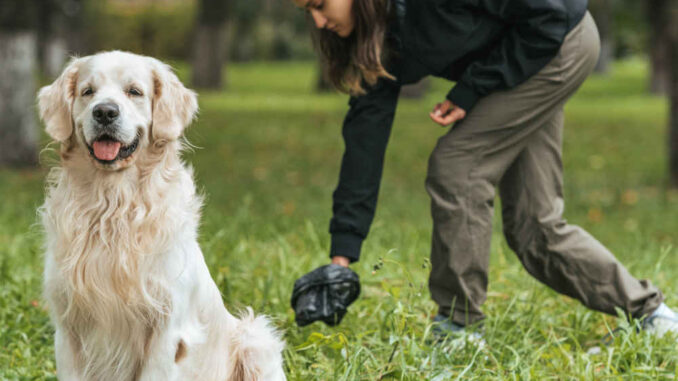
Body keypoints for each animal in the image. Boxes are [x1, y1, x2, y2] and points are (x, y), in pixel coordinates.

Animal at [37, 50, 286, 380]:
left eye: (134, 92)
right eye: (87, 91)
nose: (105, 112)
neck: (112, 205)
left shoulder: (168, 330)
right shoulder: (67, 329)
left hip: (255, 339)